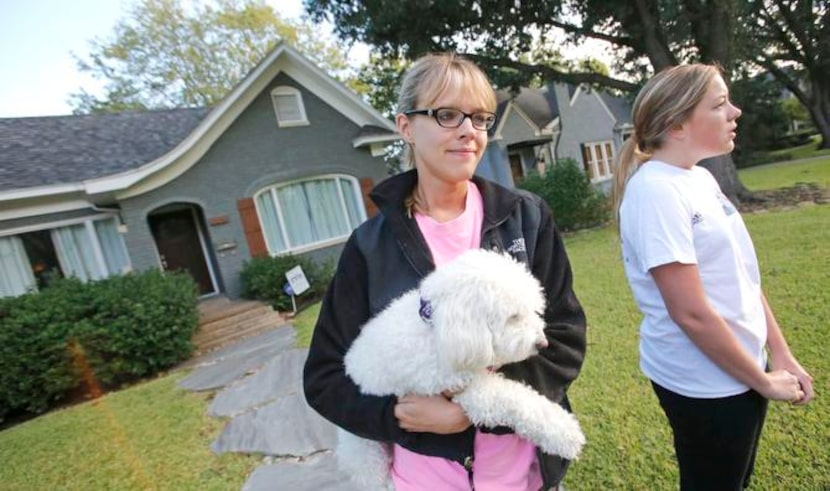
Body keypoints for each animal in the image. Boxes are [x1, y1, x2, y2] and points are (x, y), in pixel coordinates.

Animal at [336, 250, 584, 491]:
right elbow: (516, 401)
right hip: (363, 450)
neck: (438, 325)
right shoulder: (464, 387)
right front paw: (566, 434)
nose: (543, 343)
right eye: (513, 317)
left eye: (533, 311)